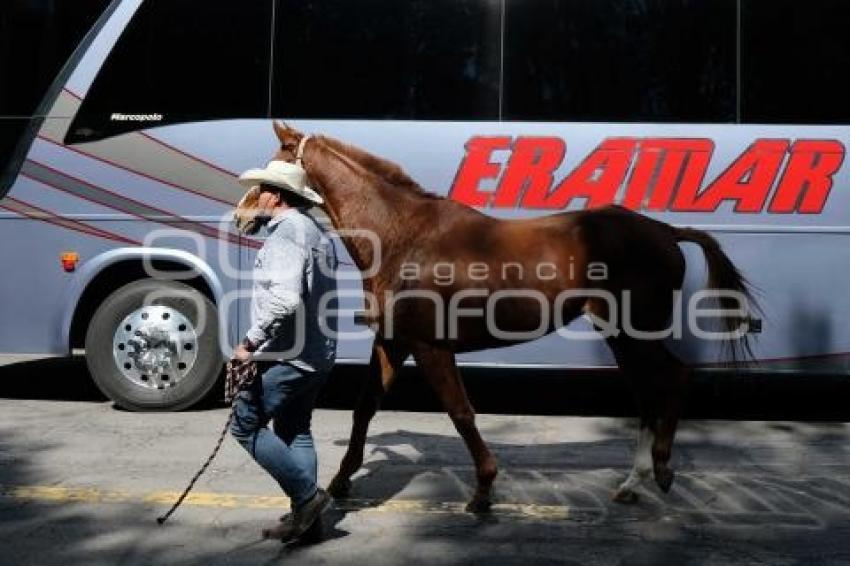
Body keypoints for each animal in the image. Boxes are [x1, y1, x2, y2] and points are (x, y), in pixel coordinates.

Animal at [248, 122, 752, 512]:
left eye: (276, 165)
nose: (246, 214)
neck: (402, 235)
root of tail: (667, 231)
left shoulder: (431, 345)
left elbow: (461, 412)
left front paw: (483, 490)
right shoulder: (393, 341)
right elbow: (365, 407)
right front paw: (340, 482)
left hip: (637, 331)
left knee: (674, 378)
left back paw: (662, 470)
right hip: (619, 334)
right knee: (648, 392)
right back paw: (633, 483)